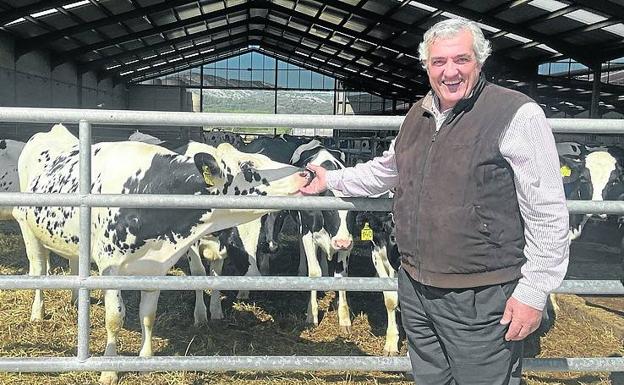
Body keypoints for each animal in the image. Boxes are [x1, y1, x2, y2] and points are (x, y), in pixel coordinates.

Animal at [13, 124, 306, 384]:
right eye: (248, 167)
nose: (305, 173)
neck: (148, 190)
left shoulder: (156, 268)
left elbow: (148, 315)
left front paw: (146, 359)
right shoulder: (111, 267)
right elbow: (114, 318)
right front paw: (109, 370)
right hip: (28, 228)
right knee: (39, 270)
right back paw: (37, 312)